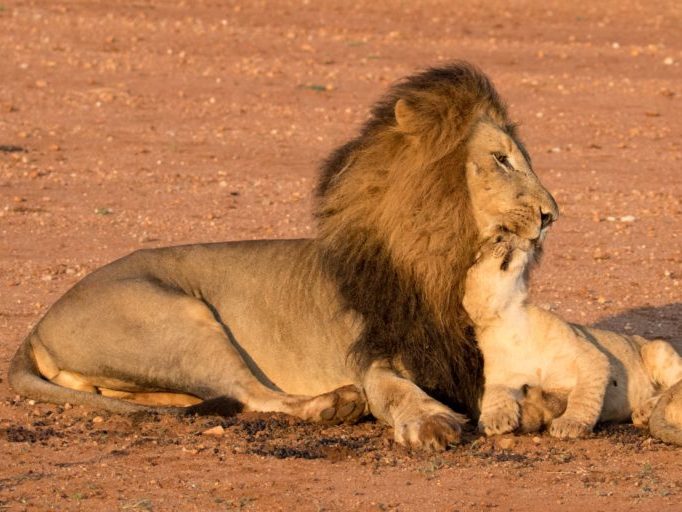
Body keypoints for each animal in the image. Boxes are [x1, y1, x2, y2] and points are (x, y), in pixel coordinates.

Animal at [9, 62, 558, 451]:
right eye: (501, 159)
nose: (552, 214)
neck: (448, 265)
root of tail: (40, 322)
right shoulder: (371, 355)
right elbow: (394, 391)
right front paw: (430, 420)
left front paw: (531, 406)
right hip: (182, 317)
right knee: (253, 394)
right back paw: (334, 406)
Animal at [462, 231, 682, 442]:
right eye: (477, 258)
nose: (500, 235)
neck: (511, 321)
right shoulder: (498, 375)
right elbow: (494, 392)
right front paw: (495, 420)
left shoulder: (589, 355)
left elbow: (583, 393)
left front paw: (571, 424)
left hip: (656, 348)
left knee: (674, 386)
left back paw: (645, 410)